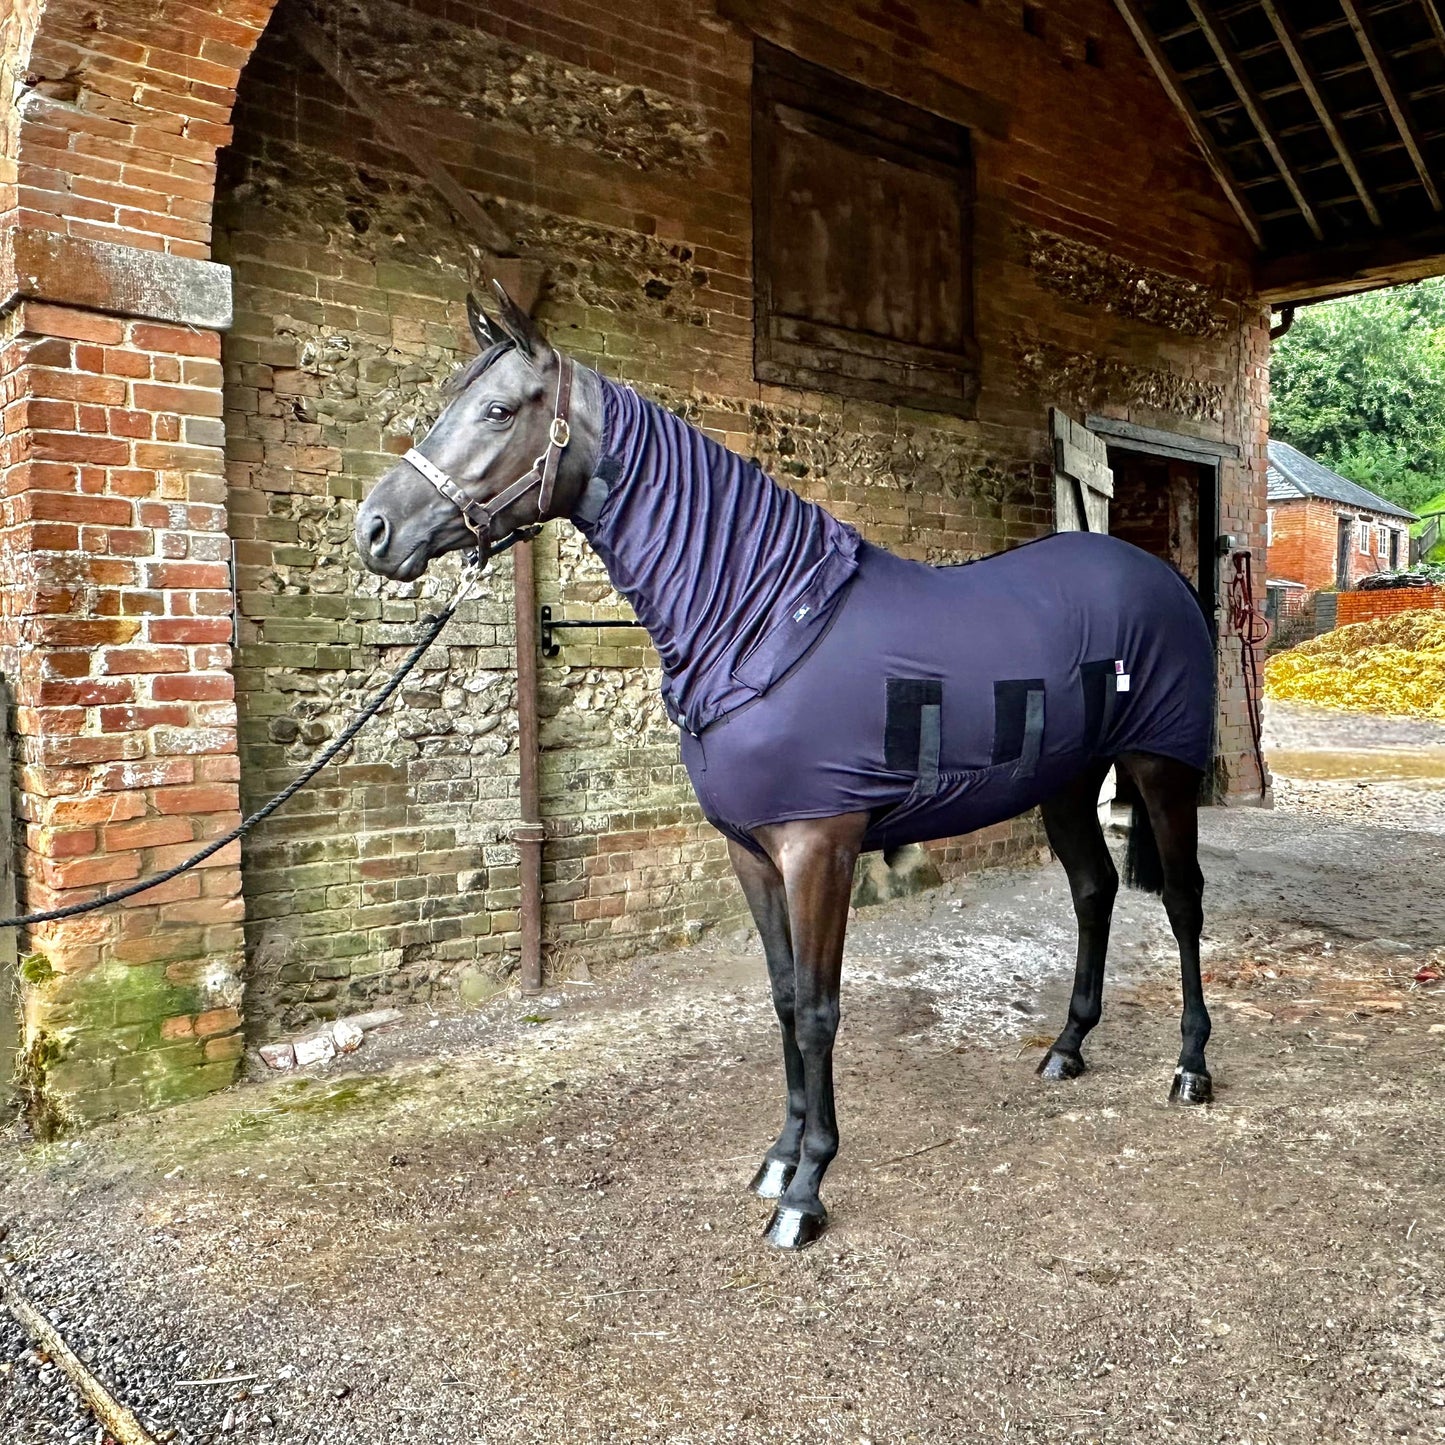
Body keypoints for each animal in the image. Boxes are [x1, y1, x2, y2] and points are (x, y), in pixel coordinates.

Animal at [354, 283, 1216, 1251]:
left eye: (500, 409)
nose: (375, 528)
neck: (761, 619)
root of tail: (1157, 576)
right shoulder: (752, 854)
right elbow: (777, 999)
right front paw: (778, 1158)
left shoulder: (820, 849)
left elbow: (815, 1008)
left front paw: (807, 1189)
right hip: (1064, 782)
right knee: (1093, 891)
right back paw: (1066, 1048)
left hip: (1159, 768)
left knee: (1182, 899)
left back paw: (1189, 1067)